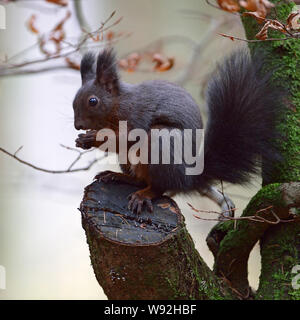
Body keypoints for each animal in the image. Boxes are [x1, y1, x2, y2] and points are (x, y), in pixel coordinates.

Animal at [72, 48, 284, 215]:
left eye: (93, 101)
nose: (77, 125)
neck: (118, 104)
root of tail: (186, 178)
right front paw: (84, 139)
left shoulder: (137, 115)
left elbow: (126, 139)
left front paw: (92, 138)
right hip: (129, 160)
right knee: (139, 179)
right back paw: (118, 176)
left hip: (160, 142)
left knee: (159, 187)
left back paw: (143, 195)